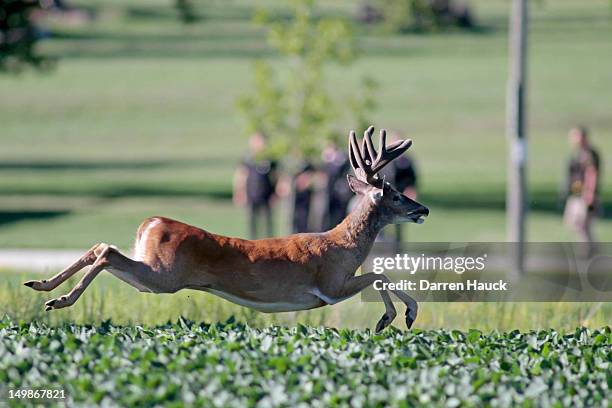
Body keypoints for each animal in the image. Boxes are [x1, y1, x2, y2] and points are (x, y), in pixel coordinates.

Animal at [25, 125, 430, 332]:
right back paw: (58, 299)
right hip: (163, 275)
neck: (344, 245)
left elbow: (379, 274)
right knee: (107, 252)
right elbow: (378, 274)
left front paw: (394, 317)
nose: (422, 208)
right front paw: (396, 317)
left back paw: (41, 286)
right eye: (395, 194)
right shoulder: (330, 285)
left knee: (101, 247)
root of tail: (150, 222)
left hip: (152, 272)